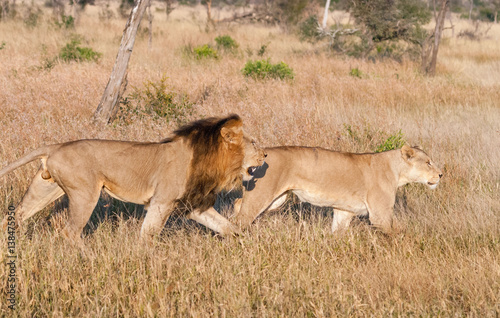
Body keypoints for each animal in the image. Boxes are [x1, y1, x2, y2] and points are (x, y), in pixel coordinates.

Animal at [0, 115, 266, 246]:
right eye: (254, 143)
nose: (265, 155)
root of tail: (55, 146)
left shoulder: (193, 205)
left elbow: (226, 226)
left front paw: (245, 243)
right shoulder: (162, 201)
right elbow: (148, 233)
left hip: (44, 188)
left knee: (15, 215)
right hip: (85, 194)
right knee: (70, 233)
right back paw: (89, 256)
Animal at [230, 145, 442, 232]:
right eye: (428, 162)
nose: (441, 174)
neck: (398, 173)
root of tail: (262, 153)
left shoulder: (344, 211)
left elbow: (337, 232)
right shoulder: (380, 215)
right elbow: (399, 233)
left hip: (277, 199)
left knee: (238, 202)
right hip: (263, 195)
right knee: (242, 216)